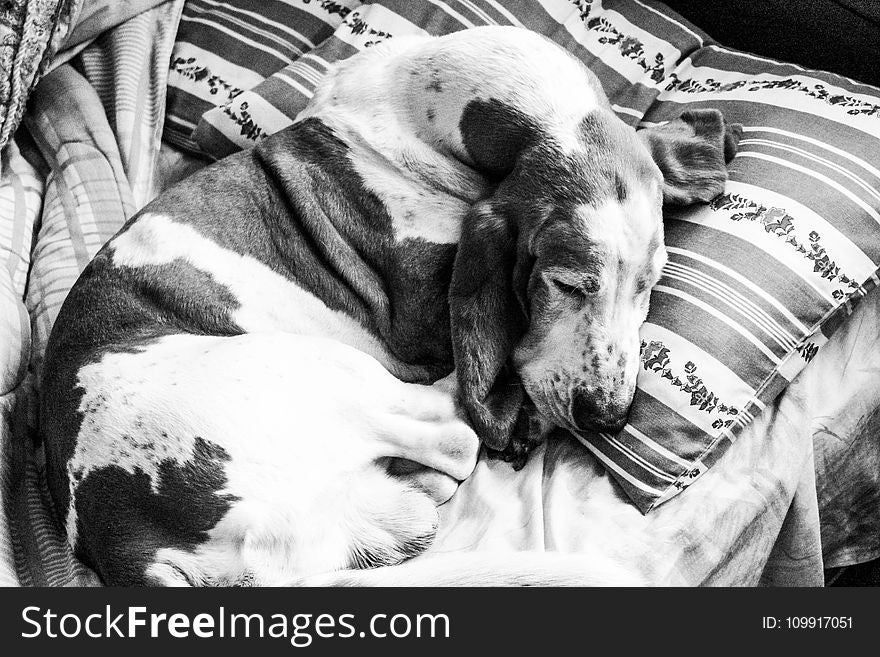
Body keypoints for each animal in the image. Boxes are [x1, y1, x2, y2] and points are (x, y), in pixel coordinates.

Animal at [43, 28, 744, 588]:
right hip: (328, 371)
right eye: (567, 284)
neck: (419, 109)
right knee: (455, 436)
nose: (608, 416)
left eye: (649, 284)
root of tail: (137, 550)